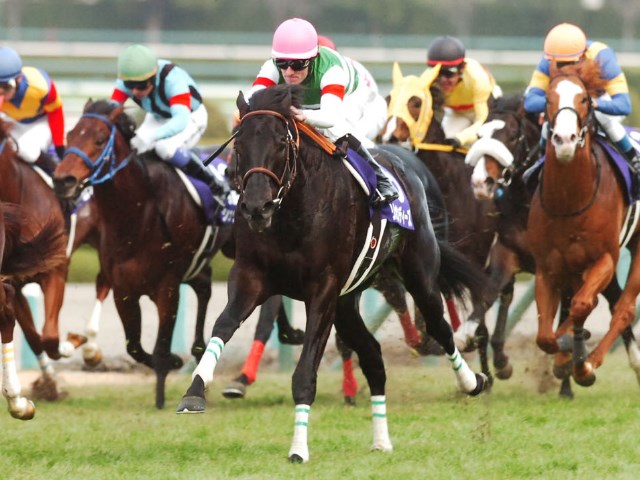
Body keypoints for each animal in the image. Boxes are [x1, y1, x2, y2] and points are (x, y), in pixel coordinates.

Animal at [52, 99, 232, 406]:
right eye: (70, 135)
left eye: (99, 139)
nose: (64, 180)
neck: (138, 216)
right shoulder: (124, 290)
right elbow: (134, 347)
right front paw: (174, 362)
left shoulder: (168, 288)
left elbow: (159, 349)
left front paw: (162, 394)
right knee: (205, 285)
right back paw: (198, 349)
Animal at [175, 84, 490, 464]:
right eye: (239, 145)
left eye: (281, 142)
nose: (255, 207)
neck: (292, 215)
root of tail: (407, 167)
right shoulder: (252, 276)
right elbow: (223, 325)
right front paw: (195, 390)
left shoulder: (322, 290)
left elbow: (305, 372)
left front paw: (298, 449)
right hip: (346, 302)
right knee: (373, 356)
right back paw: (381, 441)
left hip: (418, 275)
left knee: (439, 327)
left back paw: (472, 382)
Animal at [464, 94, 640, 398]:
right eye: (479, 134)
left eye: (513, 136)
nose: (480, 182)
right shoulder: (508, 253)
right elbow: (489, 293)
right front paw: (476, 342)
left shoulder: (567, 267)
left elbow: (569, 311)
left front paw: (565, 374)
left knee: (618, 304)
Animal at [528, 60, 640, 386]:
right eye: (548, 99)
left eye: (586, 100)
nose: (564, 140)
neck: (570, 200)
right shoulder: (548, 267)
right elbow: (545, 336)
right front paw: (565, 353)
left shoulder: (605, 258)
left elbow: (581, 305)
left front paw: (580, 363)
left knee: (623, 309)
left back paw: (594, 360)